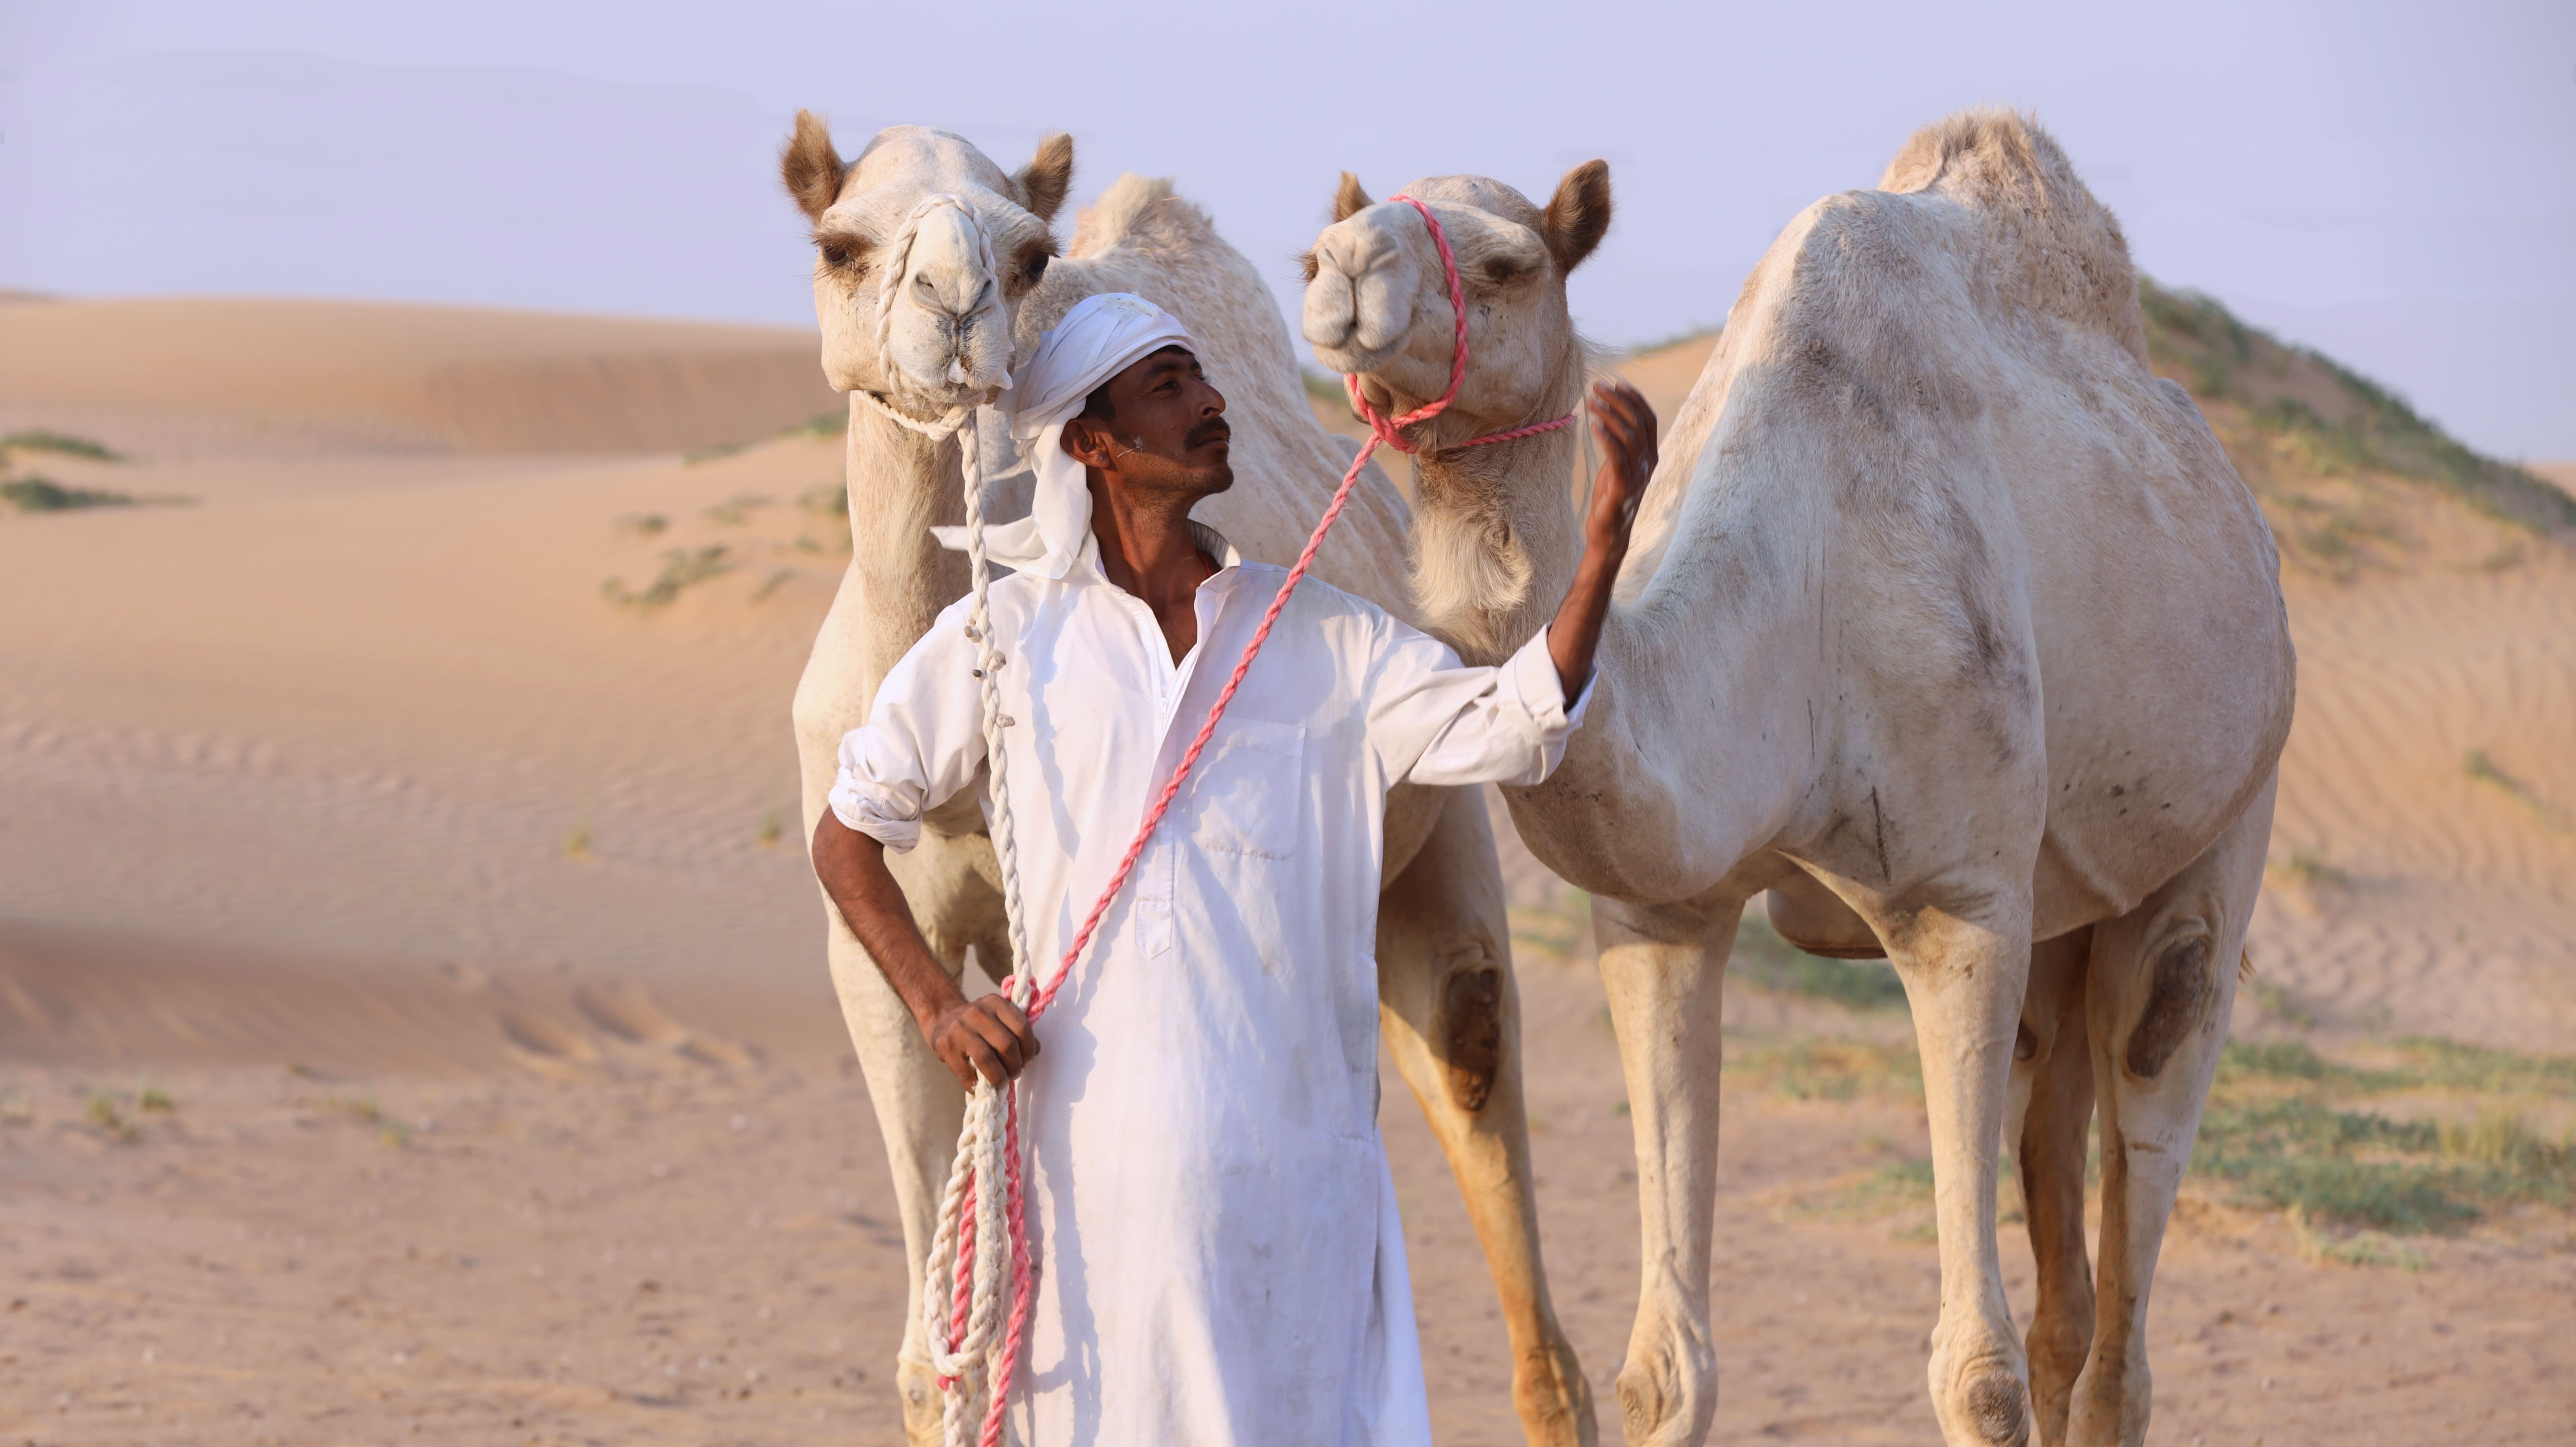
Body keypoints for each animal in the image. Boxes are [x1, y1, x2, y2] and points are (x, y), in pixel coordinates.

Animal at [1301, 109, 2294, 1447]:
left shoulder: (1957, 902)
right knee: (2061, 1208)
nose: (1341, 266)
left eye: (1509, 264)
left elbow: (1972, 1378)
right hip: (2060, 908)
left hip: (2238, 798)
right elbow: (1662, 1368)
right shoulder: (1661, 913)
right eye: (1340, 229)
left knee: (2151, 1100)